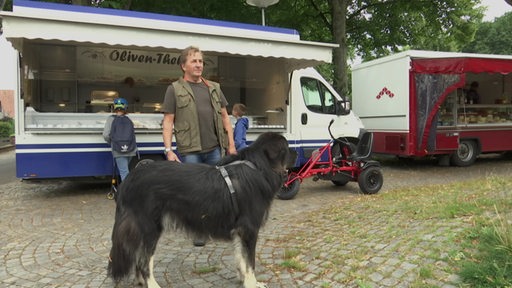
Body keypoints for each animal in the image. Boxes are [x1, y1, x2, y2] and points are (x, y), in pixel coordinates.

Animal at [107, 133, 288, 288]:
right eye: (287, 148)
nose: (294, 152)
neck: (257, 167)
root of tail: (128, 181)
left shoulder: (239, 230)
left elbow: (240, 257)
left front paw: (243, 279)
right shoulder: (249, 229)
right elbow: (250, 262)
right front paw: (252, 283)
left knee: (138, 257)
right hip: (150, 228)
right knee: (144, 261)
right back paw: (152, 284)